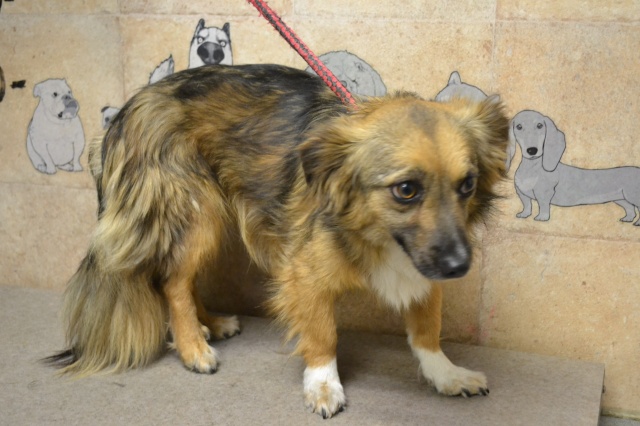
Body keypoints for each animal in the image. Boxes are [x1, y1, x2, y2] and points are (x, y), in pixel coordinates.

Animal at [49, 64, 509, 418]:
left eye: (467, 185)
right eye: (407, 190)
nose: (459, 267)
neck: (374, 229)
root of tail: (122, 116)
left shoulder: (422, 267)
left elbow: (427, 329)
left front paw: (446, 373)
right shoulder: (304, 274)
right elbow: (323, 334)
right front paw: (323, 385)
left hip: (211, 218)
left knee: (185, 278)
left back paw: (210, 324)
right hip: (198, 214)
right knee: (172, 282)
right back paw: (193, 347)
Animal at [507, 110, 640, 224]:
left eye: (540, 125)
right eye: (519, 127)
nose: (532, 150)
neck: (532, 168)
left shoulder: (544, 193)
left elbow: (543, 205)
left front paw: (542, 218)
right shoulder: (521, 193)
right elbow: (527, 205)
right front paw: (523, 214)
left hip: (632, 195)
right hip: (621, 199)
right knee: (630, 209)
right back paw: (628, 219)